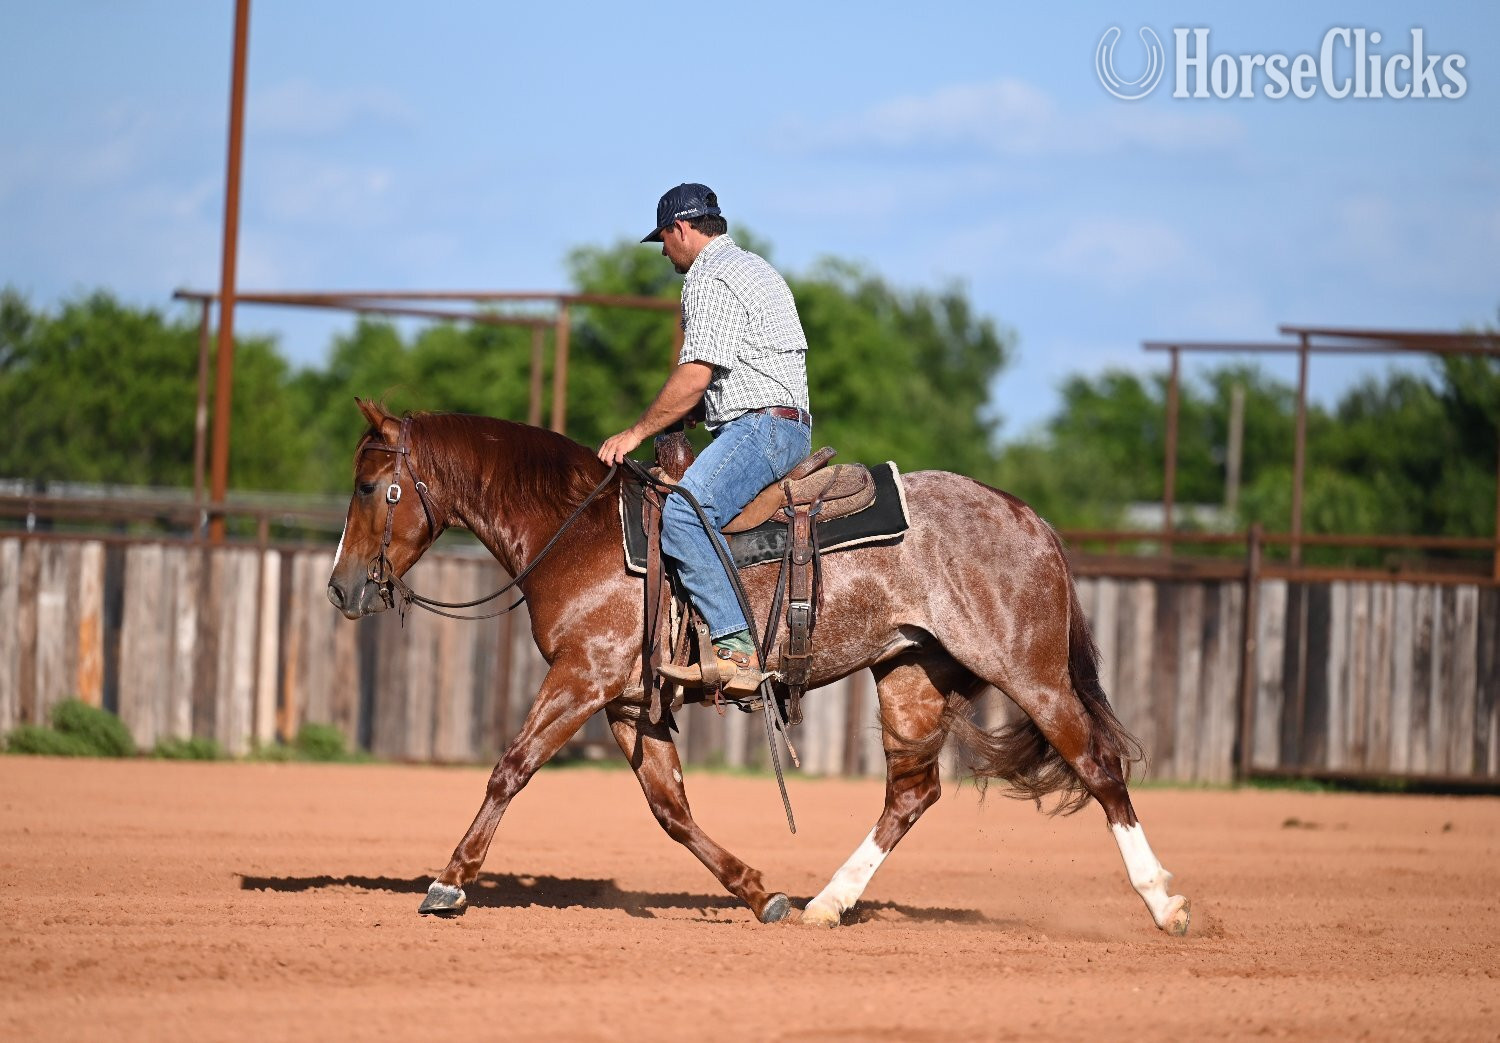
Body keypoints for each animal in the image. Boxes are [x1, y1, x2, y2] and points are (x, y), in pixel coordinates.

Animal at [326, 399, 1190, 934]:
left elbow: (511, 767)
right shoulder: (629, 701)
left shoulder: (583, 677)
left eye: (370, 485)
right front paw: (759, 892)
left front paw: (449, 881)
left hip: (1029, 671)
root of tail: (1029, 517)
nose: (340, 586)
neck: (575, 529)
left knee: (1099, 763)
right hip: (912, 675)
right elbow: (670, 808)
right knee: (912, 793)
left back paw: (1164, 903)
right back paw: (827, 902)